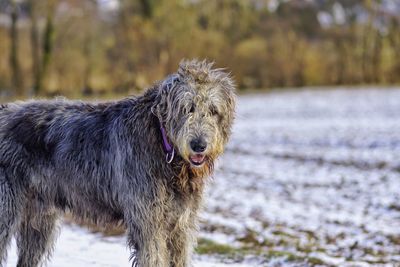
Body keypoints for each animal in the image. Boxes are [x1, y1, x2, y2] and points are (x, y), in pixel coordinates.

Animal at [0, 60, 234, 267]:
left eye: (213, 110)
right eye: (187, 108)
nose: (199, 145)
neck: (160, 140)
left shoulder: (181, 227)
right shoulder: (148, 224)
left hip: (40, 217)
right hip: (7, 209)